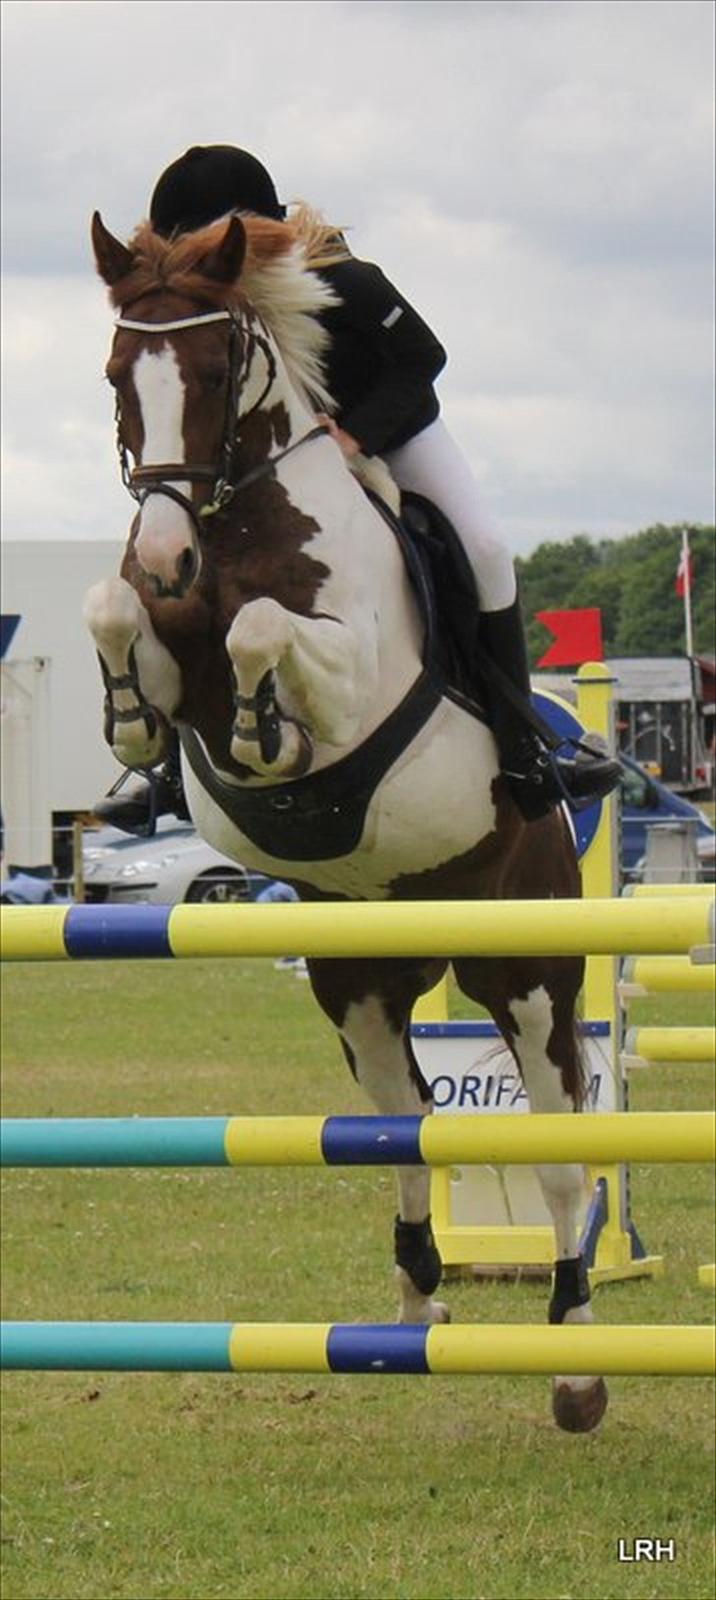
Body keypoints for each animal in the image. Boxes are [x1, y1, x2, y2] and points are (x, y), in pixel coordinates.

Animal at [85, 209, 606, 1433]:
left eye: (216, 371)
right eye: (119, 375)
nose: (167, 551)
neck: (233, 524)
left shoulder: (355, 674)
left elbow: (264, 634)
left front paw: (264, 728)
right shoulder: (162, 630)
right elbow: (113, 611)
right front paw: (131, 722)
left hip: (529, 970)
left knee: (561, 1149)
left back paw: (573, 1357)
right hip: (359, 983)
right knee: (400, 1127)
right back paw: (415, 1306)